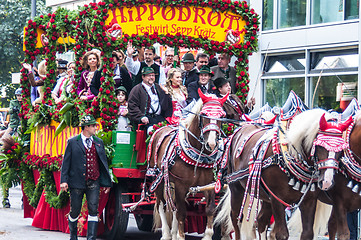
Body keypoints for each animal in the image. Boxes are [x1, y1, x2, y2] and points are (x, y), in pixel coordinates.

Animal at [146, 89, 228, 240]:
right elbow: (181, 212)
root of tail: (159, 129)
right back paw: (166, 233)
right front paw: (180, 236)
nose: (211, 144)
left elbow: (210, 209)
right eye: (204, 114)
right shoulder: (180, 185)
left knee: (172, 206)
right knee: (161, 204)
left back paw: (173, 232)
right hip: (158, 179)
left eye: (222, 116)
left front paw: (207, 235)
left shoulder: (209, 185)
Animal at [215, 109, 350, 240]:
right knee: (237, 219)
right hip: (236, 188)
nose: (327, 182)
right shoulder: (277, 198)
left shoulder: (309, 200)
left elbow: (307, 234)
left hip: (265, 196)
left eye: (341, 150)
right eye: (320, 146)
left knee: (261, 221)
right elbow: (282, 234)